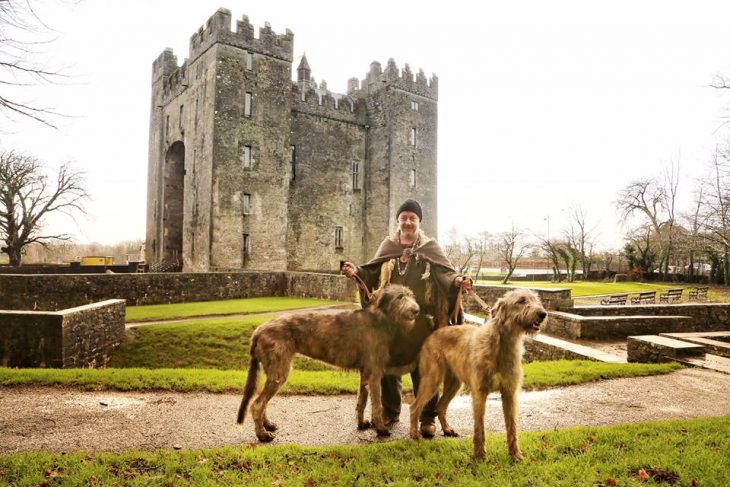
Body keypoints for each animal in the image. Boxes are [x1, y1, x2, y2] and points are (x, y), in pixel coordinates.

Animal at [236, 286, 418, 442]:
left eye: (411, 295)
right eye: (400, 297)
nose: (416, 310)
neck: (381, 318)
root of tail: (258, 331)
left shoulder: (365, 371)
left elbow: (362, 400)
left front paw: (361, 424)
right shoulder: (374, 372)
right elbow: (376, 404)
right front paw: (380, 429)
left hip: (273, 371)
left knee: (262, 401)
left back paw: (267, 425)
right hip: (279, 371)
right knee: (257, 404)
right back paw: (262, 435)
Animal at [406, 288, 544, 464]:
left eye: (536, 300)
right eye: (521, 301)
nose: (543, 314)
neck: (501, 343)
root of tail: (433, 333)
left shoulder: (509, 393)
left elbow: (512, 426)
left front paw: (515, 455)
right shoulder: (479, 392)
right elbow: (479, 427)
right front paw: (479, 456)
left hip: (455, 384)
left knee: (441, 406)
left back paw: (447, 429)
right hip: (432, 379)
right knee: (414, 406)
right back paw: (414, 435)